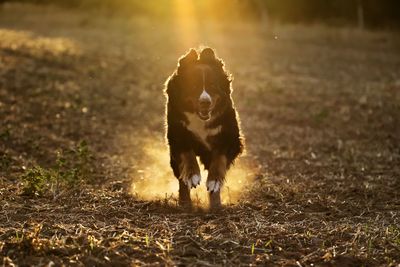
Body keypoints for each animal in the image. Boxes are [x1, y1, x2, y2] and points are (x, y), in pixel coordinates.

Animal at [164, 48, 242, 211]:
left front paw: (214, 181)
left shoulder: (230, 138)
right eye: (193, 86)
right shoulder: (177, 135)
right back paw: (185, 202)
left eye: (212, 85)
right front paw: (192, 176)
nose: (205, 102)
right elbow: (188, 155)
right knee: (181, 179)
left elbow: (219, 159)